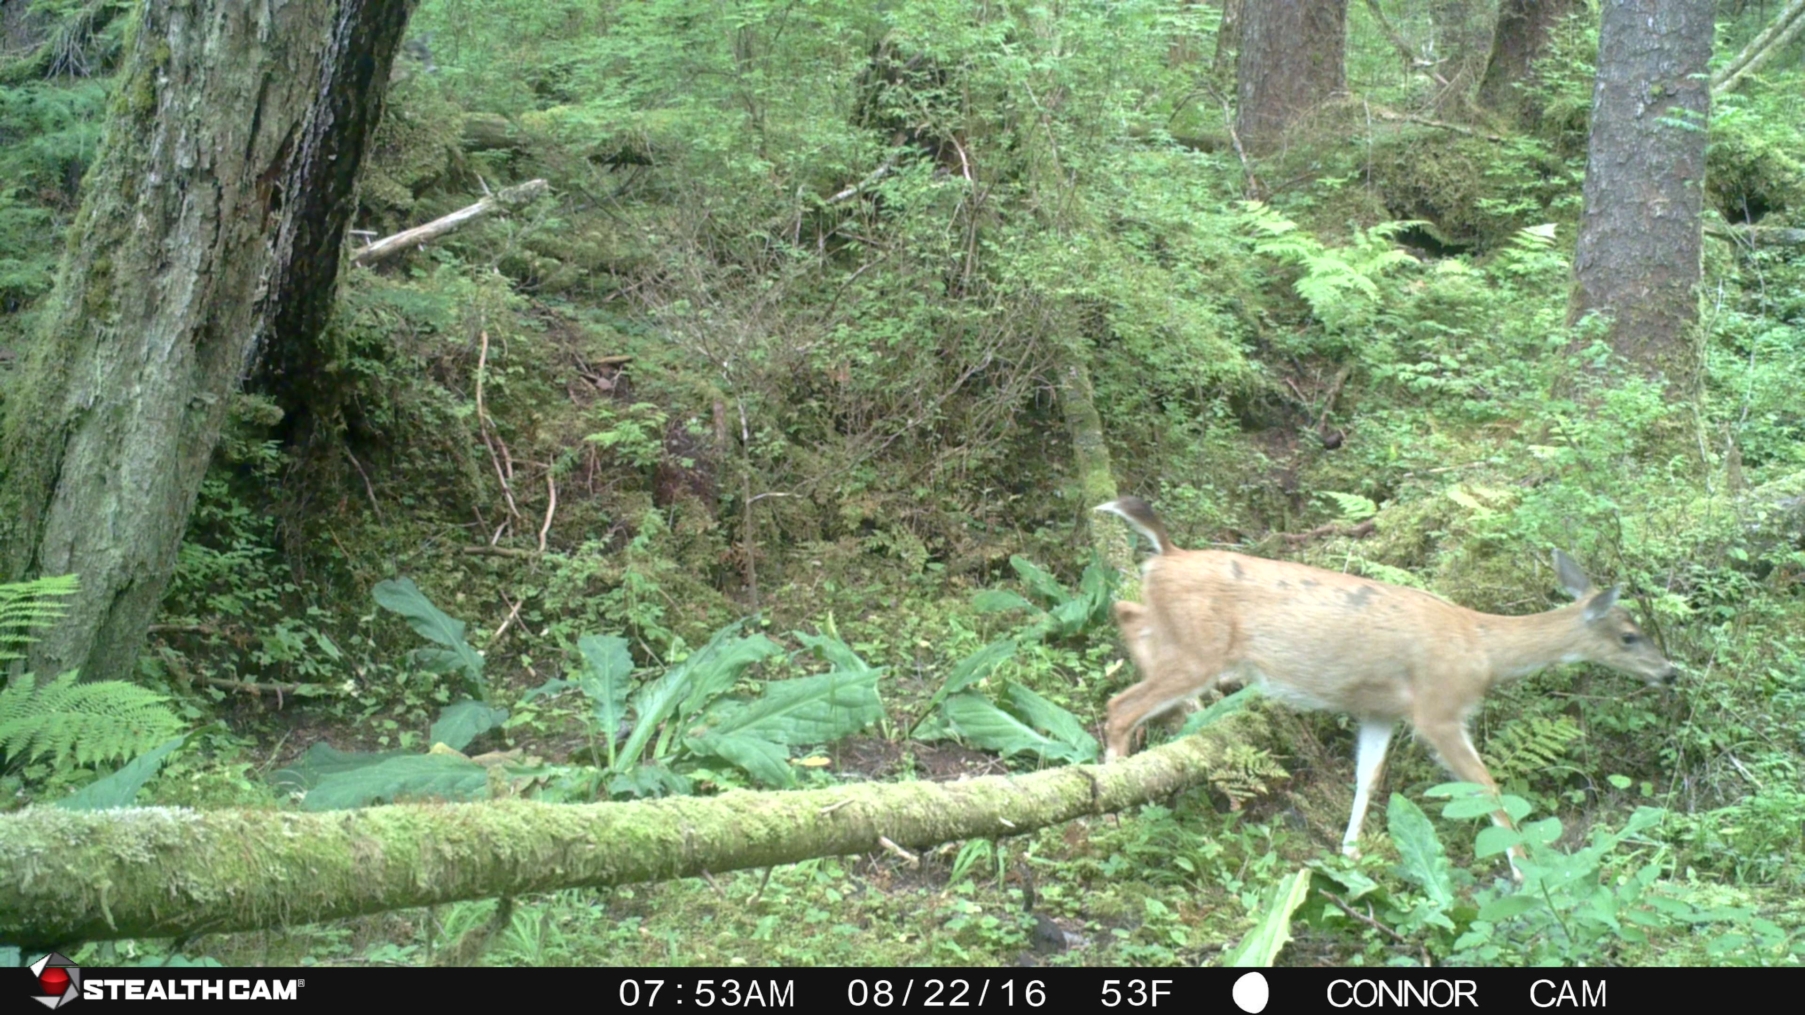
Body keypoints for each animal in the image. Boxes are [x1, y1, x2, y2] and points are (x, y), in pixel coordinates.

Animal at [1090, 494, 1682, 874]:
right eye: (1630, 635)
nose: (1670, 672)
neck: (1483, 649)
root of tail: (1168, 554)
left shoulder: (1380, 711)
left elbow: (1368, 779)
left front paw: (1351, 853)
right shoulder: (1438, 710)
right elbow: (1486, 785)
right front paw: (1522, 867)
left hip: (1183, 635)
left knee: (1127, 614)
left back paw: (1180, 716)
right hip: (1201, 648)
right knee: (1119, 705)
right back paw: (1113, 810)